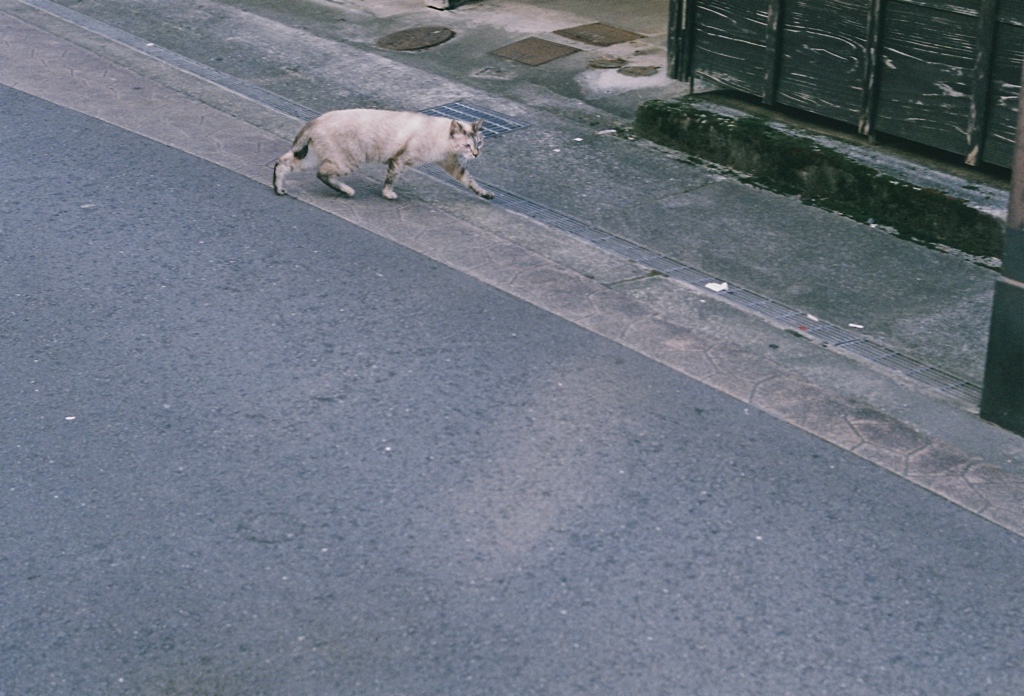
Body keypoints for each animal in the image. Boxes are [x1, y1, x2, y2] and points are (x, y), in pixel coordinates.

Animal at [272, 108, 495, 199]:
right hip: (347, 161)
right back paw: (347, 191)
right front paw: (388, 195)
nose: (476, 154)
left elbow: (470, 181)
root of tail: (315, 120)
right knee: (322, 173)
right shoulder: (399, 160)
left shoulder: (450, 163)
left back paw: (279, 189)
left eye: (480, 143)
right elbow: (391, 179)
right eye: (467, 146)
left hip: (311, 157)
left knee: (282, 163)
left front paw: (485, 194)